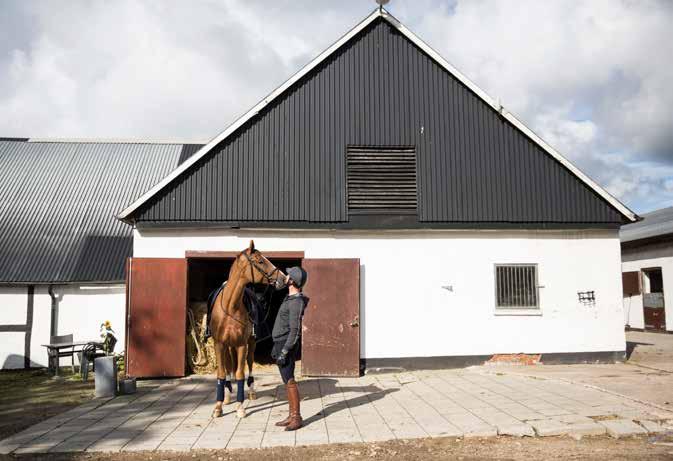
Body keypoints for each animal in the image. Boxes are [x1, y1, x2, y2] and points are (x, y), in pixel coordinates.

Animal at [209, 241, 284, 416]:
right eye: (261, 261)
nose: (283, 278)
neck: (230, 307)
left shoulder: (242, 345)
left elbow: (240, 373)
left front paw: (240, 407)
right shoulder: (219, 344)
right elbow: (222, 373)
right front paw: (218, 406)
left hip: (250, 343)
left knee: (248, 364)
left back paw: (251, 391)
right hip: (229, 346)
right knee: (229, 367)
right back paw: (227, 395)